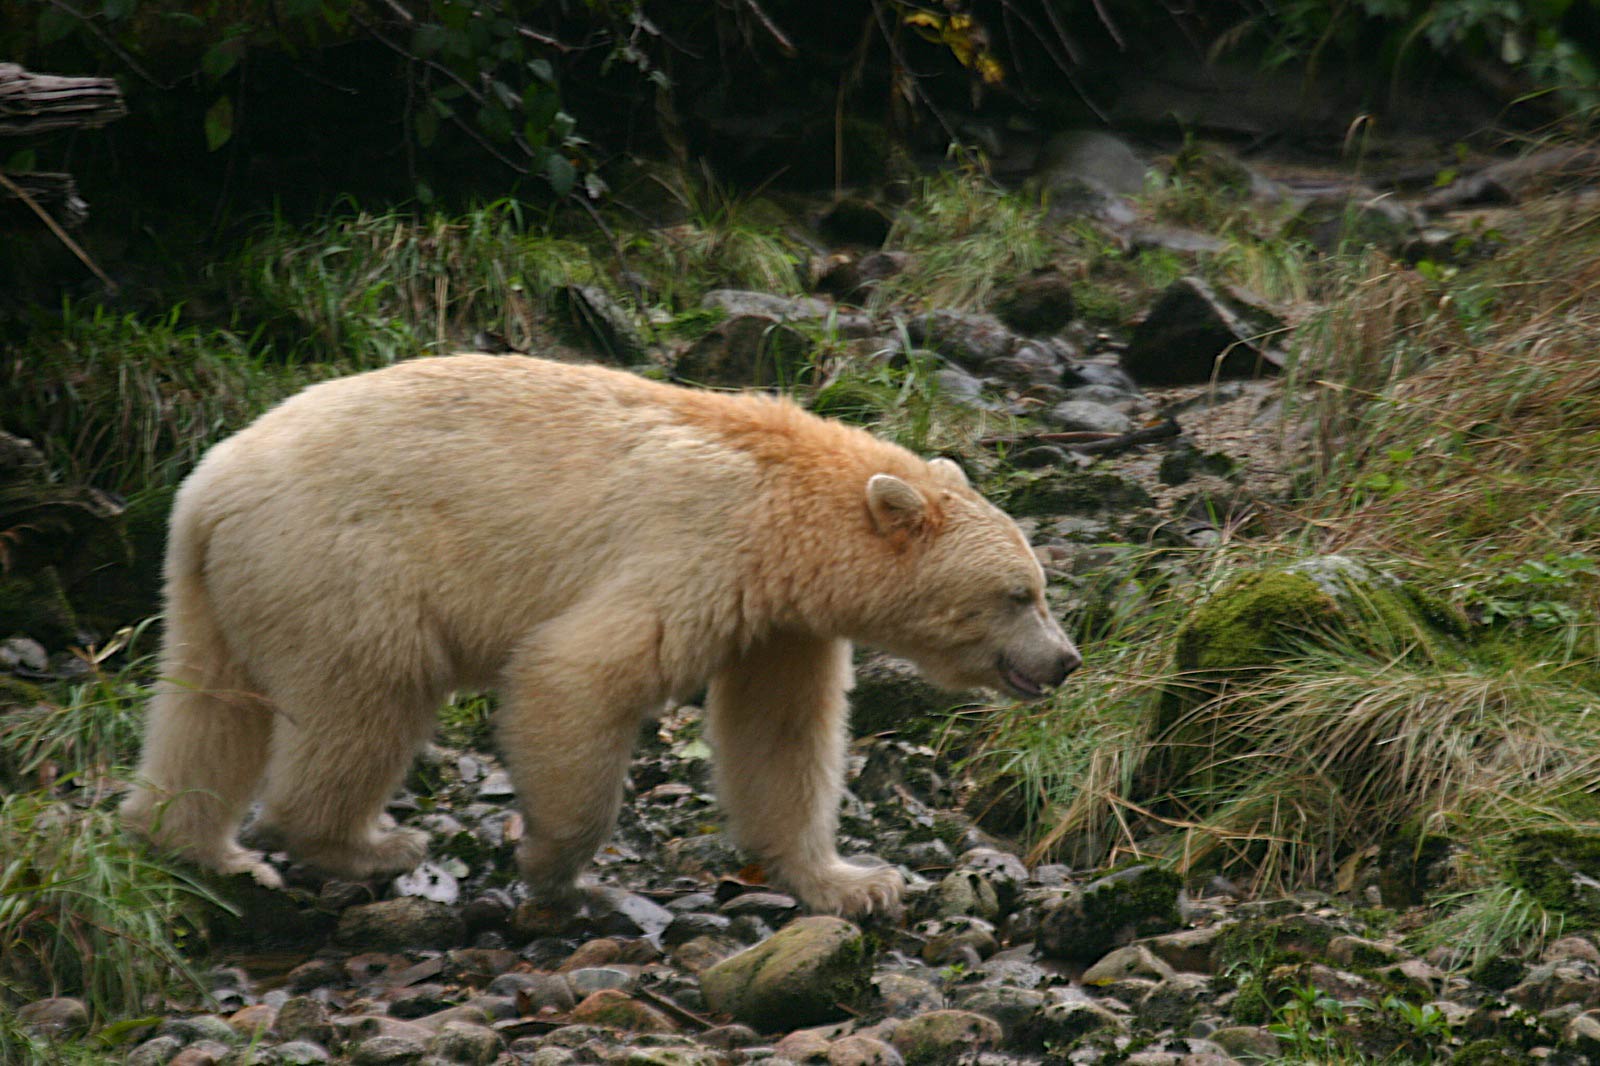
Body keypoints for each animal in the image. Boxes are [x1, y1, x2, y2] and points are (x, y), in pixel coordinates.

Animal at [121, 350, 1075, 915]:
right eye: (1019, 593)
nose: (1065, 661)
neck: (786, 507)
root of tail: (207, 487)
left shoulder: (778, 620)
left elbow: (780, 734)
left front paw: (856, 883)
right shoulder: (699, 549)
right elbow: (576, 673)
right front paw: (553, 863)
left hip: (228, 583)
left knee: (208, 707)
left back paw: (200, 847)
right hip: (345, 566)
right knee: (367, 698)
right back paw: (366, 843)